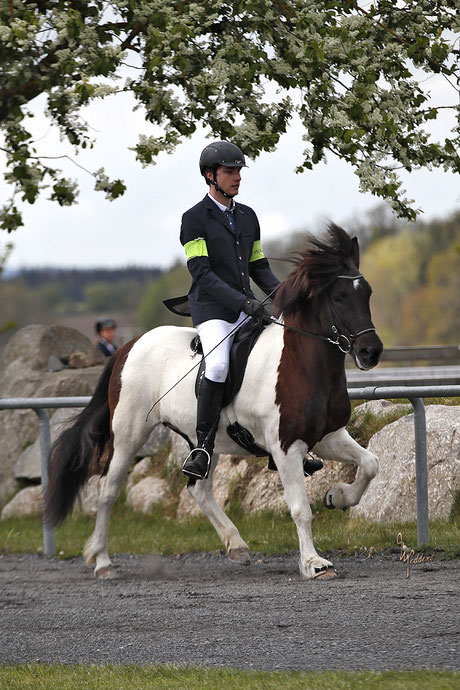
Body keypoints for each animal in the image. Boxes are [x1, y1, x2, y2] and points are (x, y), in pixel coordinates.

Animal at [44, 223, 380, 576]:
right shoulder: (286, 448)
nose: (371, 352)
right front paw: (314, 563)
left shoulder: (329, 436)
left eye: (367, 293)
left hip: (206, 440)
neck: (301, 363)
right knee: (107, 490)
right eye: (339, 297)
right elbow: (300, 508)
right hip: (128, 434)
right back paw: (102, 561)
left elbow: (371, 464)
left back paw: (236, 544)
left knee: (199, 488)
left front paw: (338, 496)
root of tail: (128, 346)